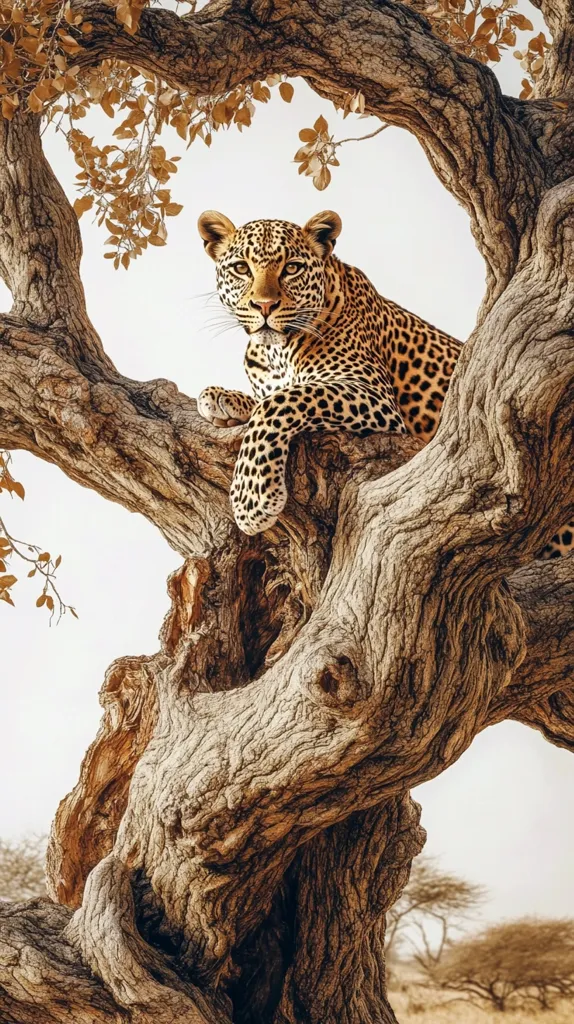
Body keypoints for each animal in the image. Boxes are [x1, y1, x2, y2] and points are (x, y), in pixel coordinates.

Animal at [197, 208, 573, 559]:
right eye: (241, 268)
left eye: (292, 268)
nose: (264, 306)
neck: (277, 352)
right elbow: (267, 397)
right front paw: (220, 398)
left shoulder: (375, 399)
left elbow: (284, 400)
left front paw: (252, 499)